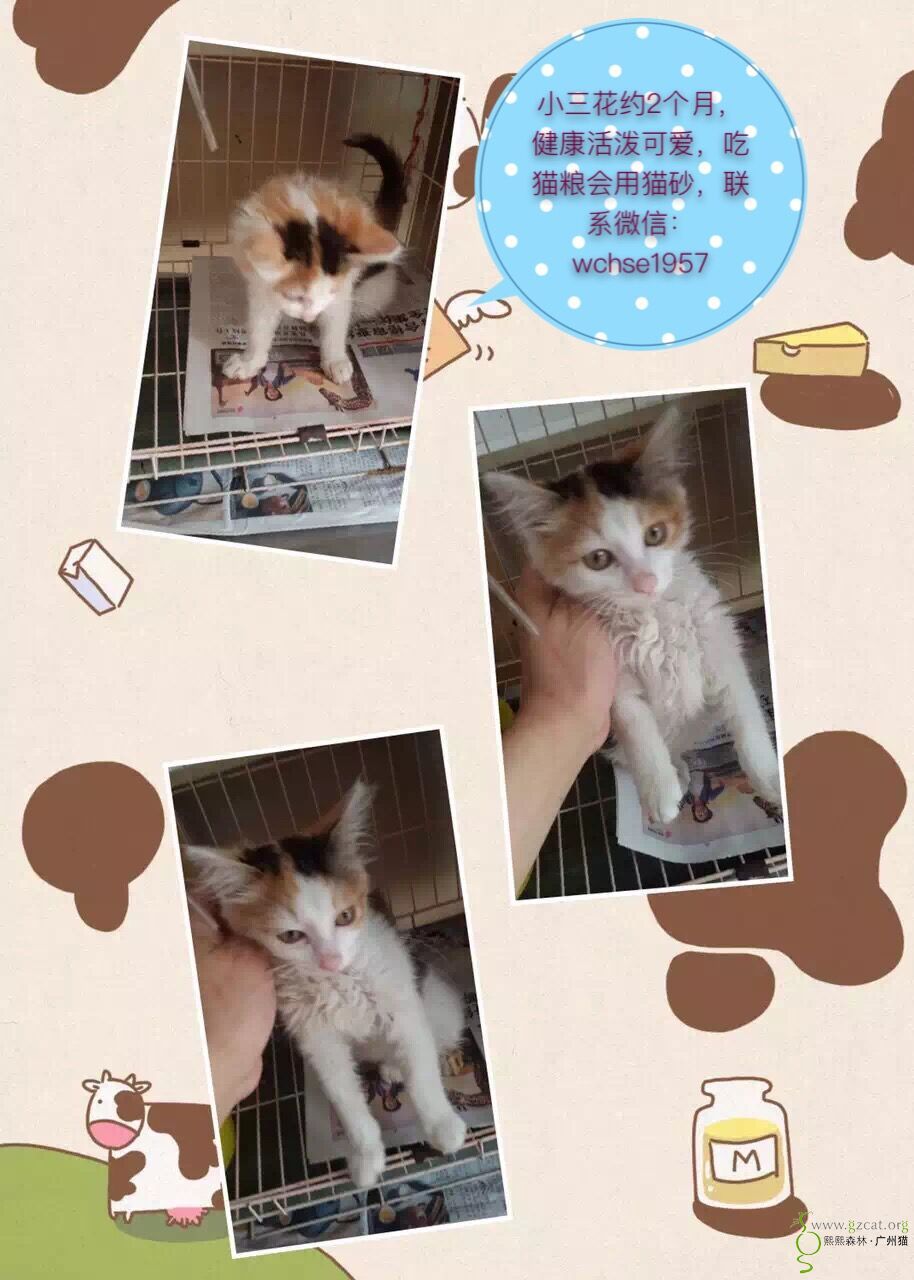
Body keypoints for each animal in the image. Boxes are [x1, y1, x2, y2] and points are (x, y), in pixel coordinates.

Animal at [183, 778, 467, 1189]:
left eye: (345, 917)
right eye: (290, 936)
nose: (330, 960)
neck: (339, 984)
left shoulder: (400, 999)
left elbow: (422, 1070)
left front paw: (442, 1125)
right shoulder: (317, 1039)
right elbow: (346, 1100)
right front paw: (366, 1156)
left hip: (437, 1003)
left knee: (434, 1039)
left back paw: (397, 1067)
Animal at [223, 134, 407, 387]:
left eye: (331, 292)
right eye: (296, 297)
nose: (310, 317)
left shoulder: (343, 290)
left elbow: (336, 320)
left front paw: (335, 360)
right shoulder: (259, 285)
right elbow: (260, 324)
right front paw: (249, 361)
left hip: (376, 291)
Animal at [483, 406, 781, 825]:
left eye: (655, 534)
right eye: (598, 559)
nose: (645, 582)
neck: (651, 616)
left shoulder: (719, 644)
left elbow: (744, 710)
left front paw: (767, 774)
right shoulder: (611, 672)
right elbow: (634, 719)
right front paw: (658, 786)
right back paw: (676, 770)